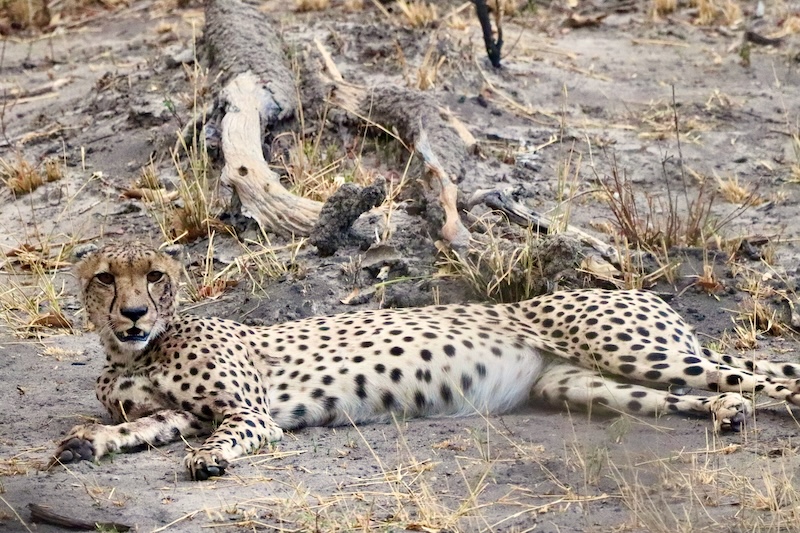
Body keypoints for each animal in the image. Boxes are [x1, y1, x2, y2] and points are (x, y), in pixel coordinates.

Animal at [51, 243, 800, 480]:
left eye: (154, 276)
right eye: (105, 279)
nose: (133, 314)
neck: (132, 353)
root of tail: (634, 289)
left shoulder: (248, 411)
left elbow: (223, 434)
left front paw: (208, 461)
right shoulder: (177, 412)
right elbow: (137, 426)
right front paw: (84, 443)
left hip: (630, 347)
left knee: (761, 376)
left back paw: (760, 403)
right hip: (589, 385)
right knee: (703, 393)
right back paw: (727, 414)